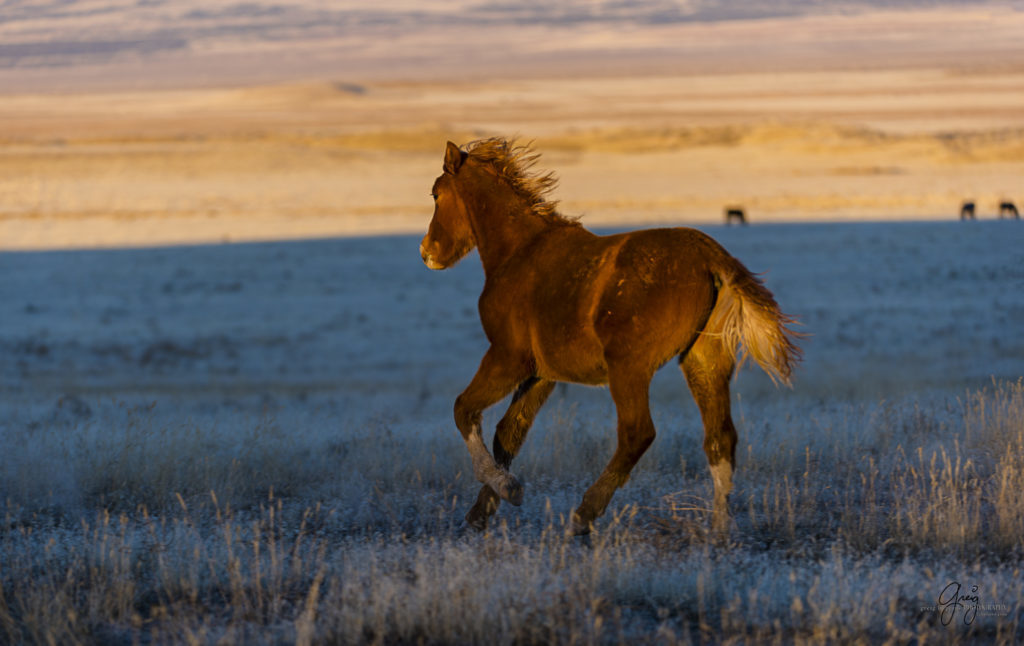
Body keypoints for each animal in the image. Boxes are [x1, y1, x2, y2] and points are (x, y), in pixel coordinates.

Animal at [419, 136, 802, 536]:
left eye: (436, 194)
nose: (427, 252)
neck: (519, 253)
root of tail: (709, 257)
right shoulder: (543, 374)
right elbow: (508, 433)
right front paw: (483, 510)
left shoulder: (507, 358)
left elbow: (464, 410)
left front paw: (506, 489)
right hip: (703, 360)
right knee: (720, 437)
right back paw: (719, 531)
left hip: (628, 367)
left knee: (638, 433)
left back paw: (583, 515)